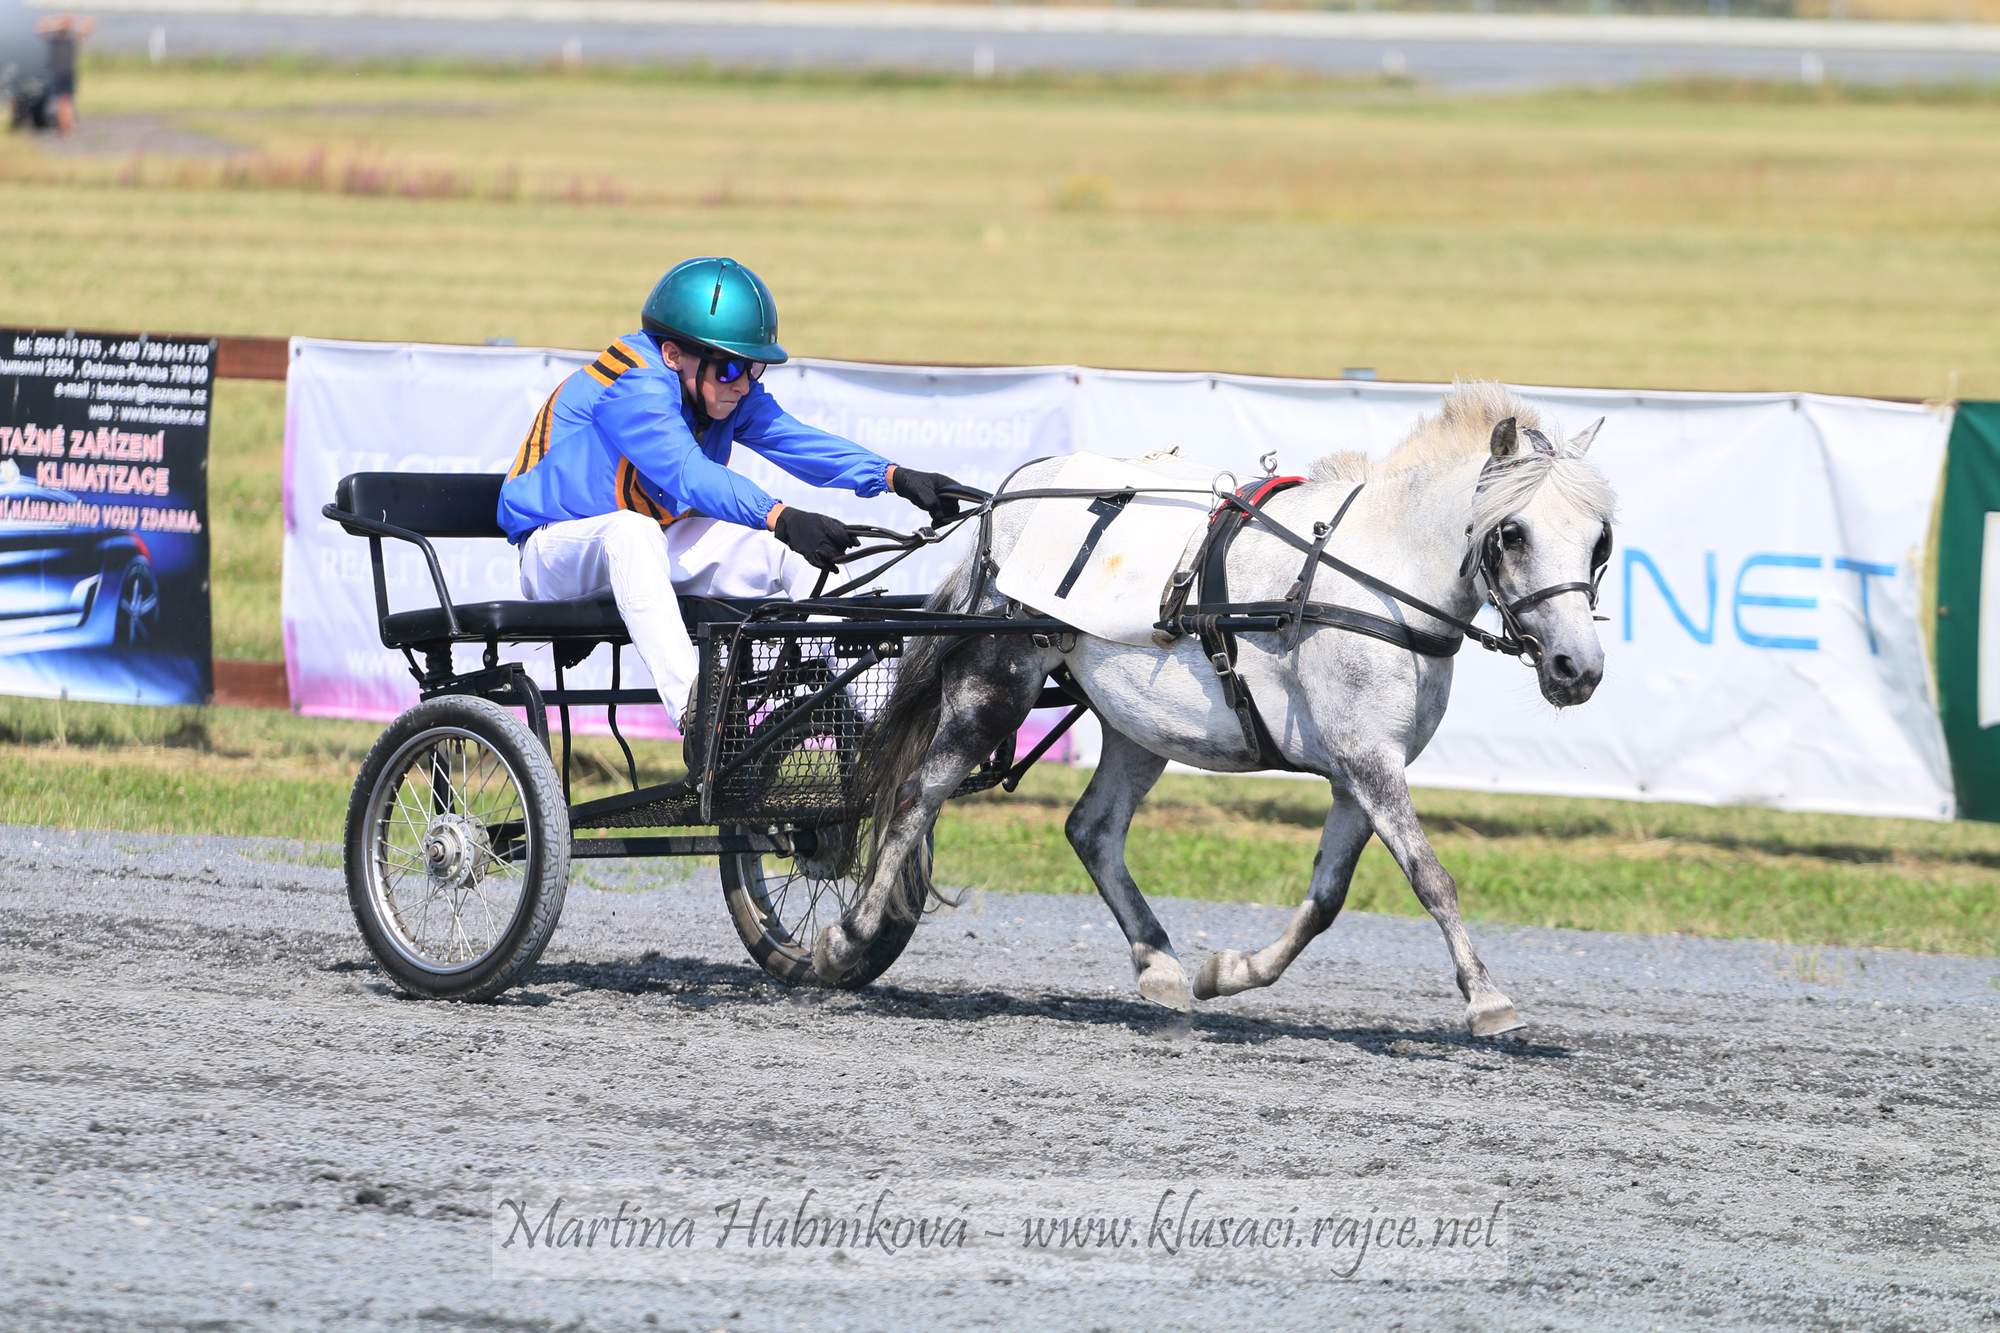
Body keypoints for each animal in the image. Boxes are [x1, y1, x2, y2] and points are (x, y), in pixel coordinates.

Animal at [820, 378, 1616, 1032]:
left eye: (1599, 541)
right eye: (1512, 533)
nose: (1578, 667)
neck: (1371, 575)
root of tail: (1005, 502)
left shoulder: (1359, 771)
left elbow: (1327, 898)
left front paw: (1229, 972)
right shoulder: (1368, 760)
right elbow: (1431, 876)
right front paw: (1487, 997)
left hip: (1139, 723)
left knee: (1093, 829)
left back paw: (1160, 964)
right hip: (994, 683)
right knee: (916, 797)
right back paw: (847, 935)